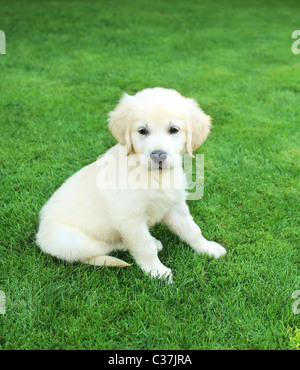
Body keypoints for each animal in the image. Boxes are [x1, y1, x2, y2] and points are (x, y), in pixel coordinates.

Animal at [36, 87, 225, 280]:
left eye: (174, 129)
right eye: (142, 130)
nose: (158, 155)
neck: (154, 176)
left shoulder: (175, 205)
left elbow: (192, 230)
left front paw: (207, 248)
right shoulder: (130, 218)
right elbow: (144, 246)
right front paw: (157, 271)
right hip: (70, 240)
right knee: (106, 247)